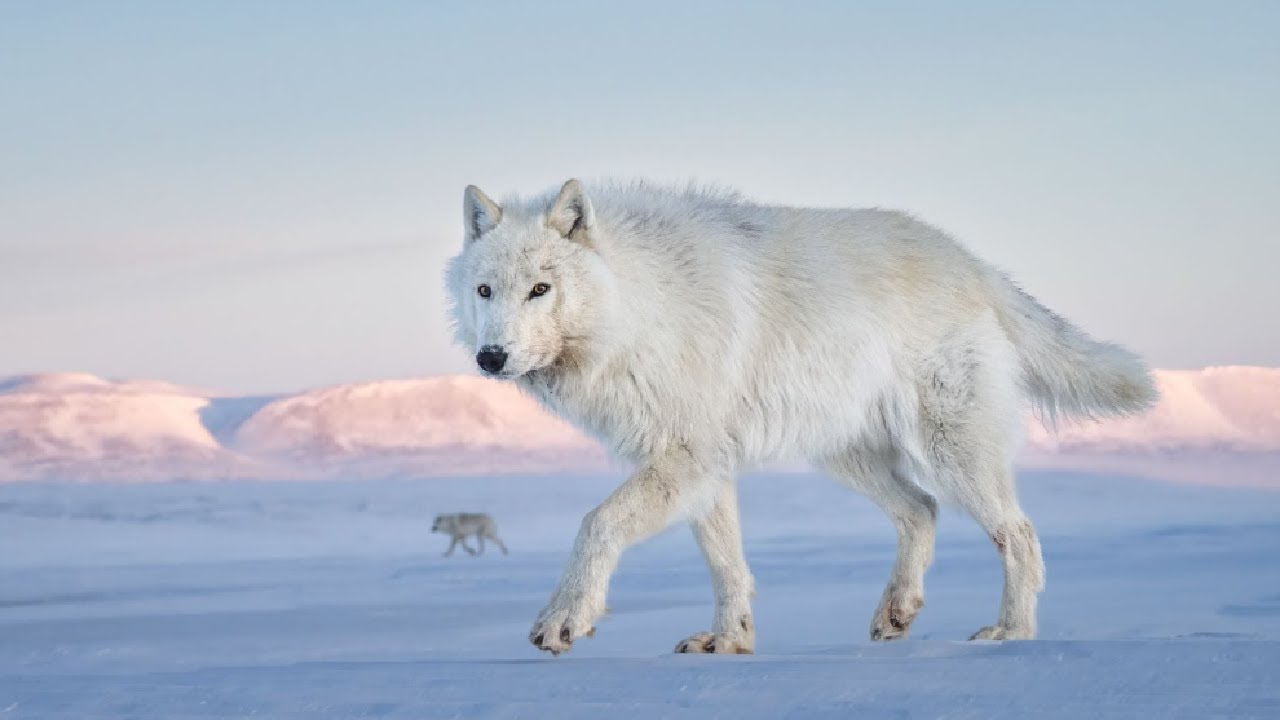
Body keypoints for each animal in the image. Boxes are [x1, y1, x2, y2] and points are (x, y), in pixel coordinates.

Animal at [445, 178, 1157, 655]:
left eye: (541, 289)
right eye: (485, 291)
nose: (490, 357)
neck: (641, 308)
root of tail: (973, 263)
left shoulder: (686, 456)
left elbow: (595, 524)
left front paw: (564, 619)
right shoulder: (704, 468)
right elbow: (727, 565)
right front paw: (730, 643)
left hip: (953, 453)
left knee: (1019, 532)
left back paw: (1012, 634)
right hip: (849, 458)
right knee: (922, 511)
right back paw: (897, 613)